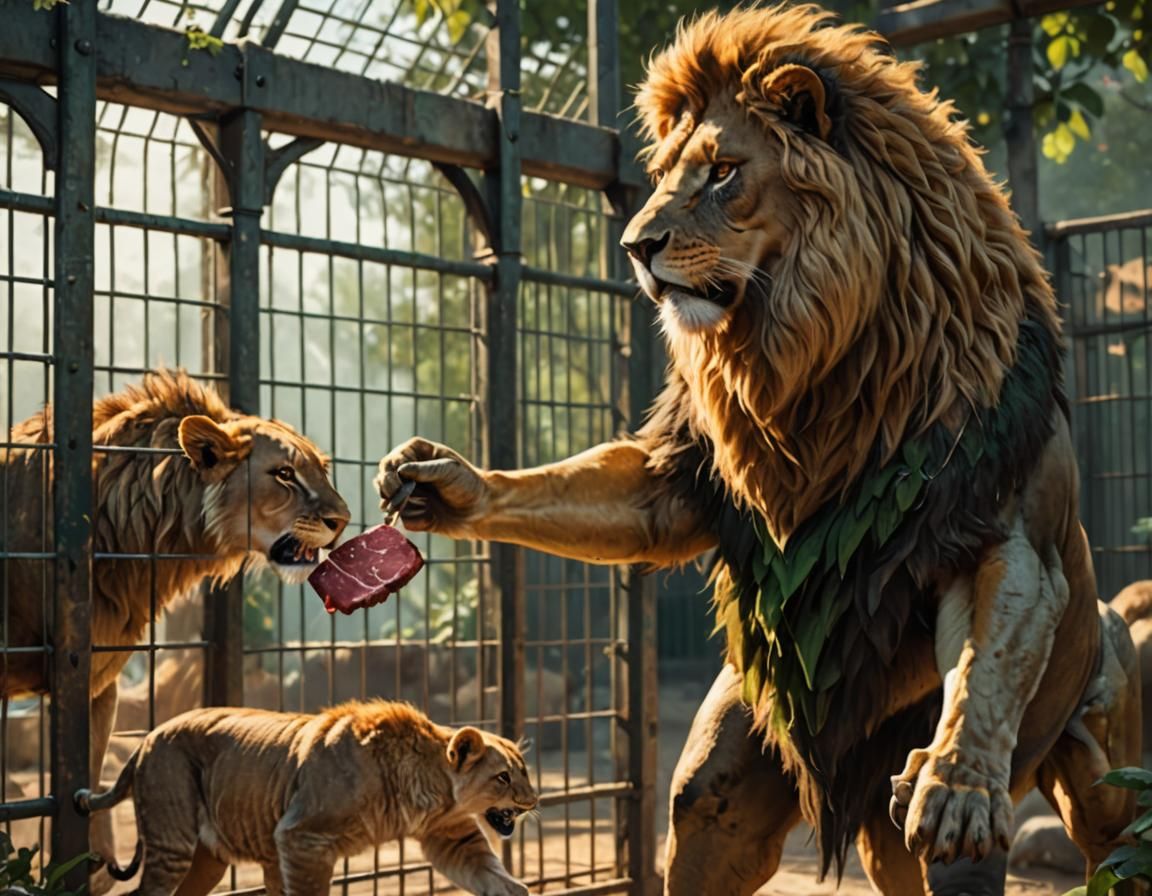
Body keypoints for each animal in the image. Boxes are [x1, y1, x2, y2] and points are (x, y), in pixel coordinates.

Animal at [0, 369, 350, 890]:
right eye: (284, 474)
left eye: (322, 470)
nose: (341, 521)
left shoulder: (97, 682)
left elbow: (88, 781)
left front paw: (95, 863)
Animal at [75, 701, 537, 896]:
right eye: (503, 777)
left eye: (525, 772)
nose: (533, 802)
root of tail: (146, 738)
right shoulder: (302, 837)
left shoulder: (453, 838)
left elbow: (498, 879)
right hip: (172, 842)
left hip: (208, 861)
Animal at [375, 5, 1142, 894]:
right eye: (668, 173)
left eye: (722, 172)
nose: (635, 246)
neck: (821, 366)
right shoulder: (686, 468)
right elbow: (628, 499)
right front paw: (446, 484)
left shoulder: (1004, 525)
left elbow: (989, 648)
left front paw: (958, 773)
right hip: (772, 730)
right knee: (722, 806)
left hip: (1099, 774)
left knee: (1097, 829)